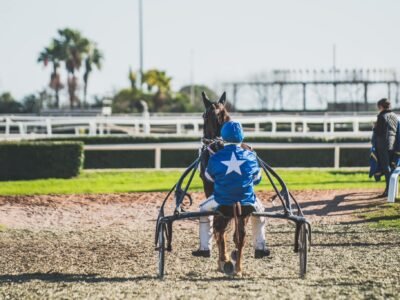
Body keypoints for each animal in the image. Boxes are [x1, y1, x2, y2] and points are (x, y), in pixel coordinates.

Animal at [200, 92, 253, 276]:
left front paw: (223, 259)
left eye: (203, 116)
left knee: (220, 227)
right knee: (239, 234)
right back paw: (238, 266)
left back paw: (225, 261)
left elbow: (219, 228)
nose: (204, 140)